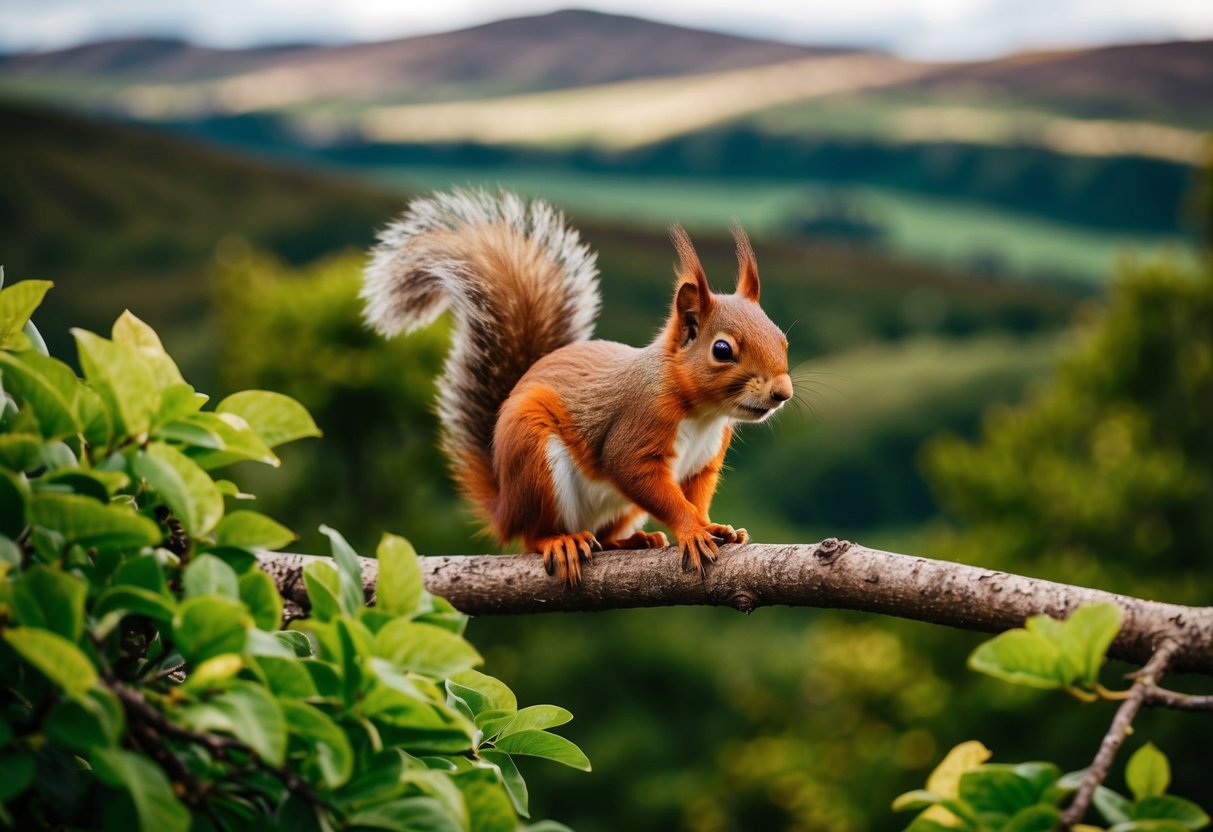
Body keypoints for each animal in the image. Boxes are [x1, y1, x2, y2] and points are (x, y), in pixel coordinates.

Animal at [362, 189, 792, 585]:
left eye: (783, 340)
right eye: (722, 350)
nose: (782, 393)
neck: (703, 414)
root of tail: (504, 507)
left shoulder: (703, 460)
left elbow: (696, 494)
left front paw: (712, 526)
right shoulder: (638, 427)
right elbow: (639, 476)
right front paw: (692, 530)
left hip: (618, 509)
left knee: (603, 534)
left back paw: (630, 542)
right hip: (534, 461)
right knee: (532, 536)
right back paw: (559, 541)